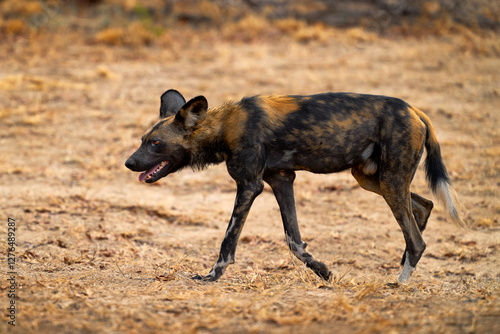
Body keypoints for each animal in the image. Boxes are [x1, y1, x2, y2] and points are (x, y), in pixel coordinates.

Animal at [125, 88, 464, 282]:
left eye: (156, 143)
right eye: (143, 140)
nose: (129, 163)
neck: (223, 127)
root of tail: (416, 110)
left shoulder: (249, 186)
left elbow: (227, 242)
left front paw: (211, 276)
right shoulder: (281, 180)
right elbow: (294, 241)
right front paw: (324, 271)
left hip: (389, 182)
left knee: (417, 238)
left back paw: (400, 282)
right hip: (372, 179)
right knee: (423, 208)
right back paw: (404, 265)